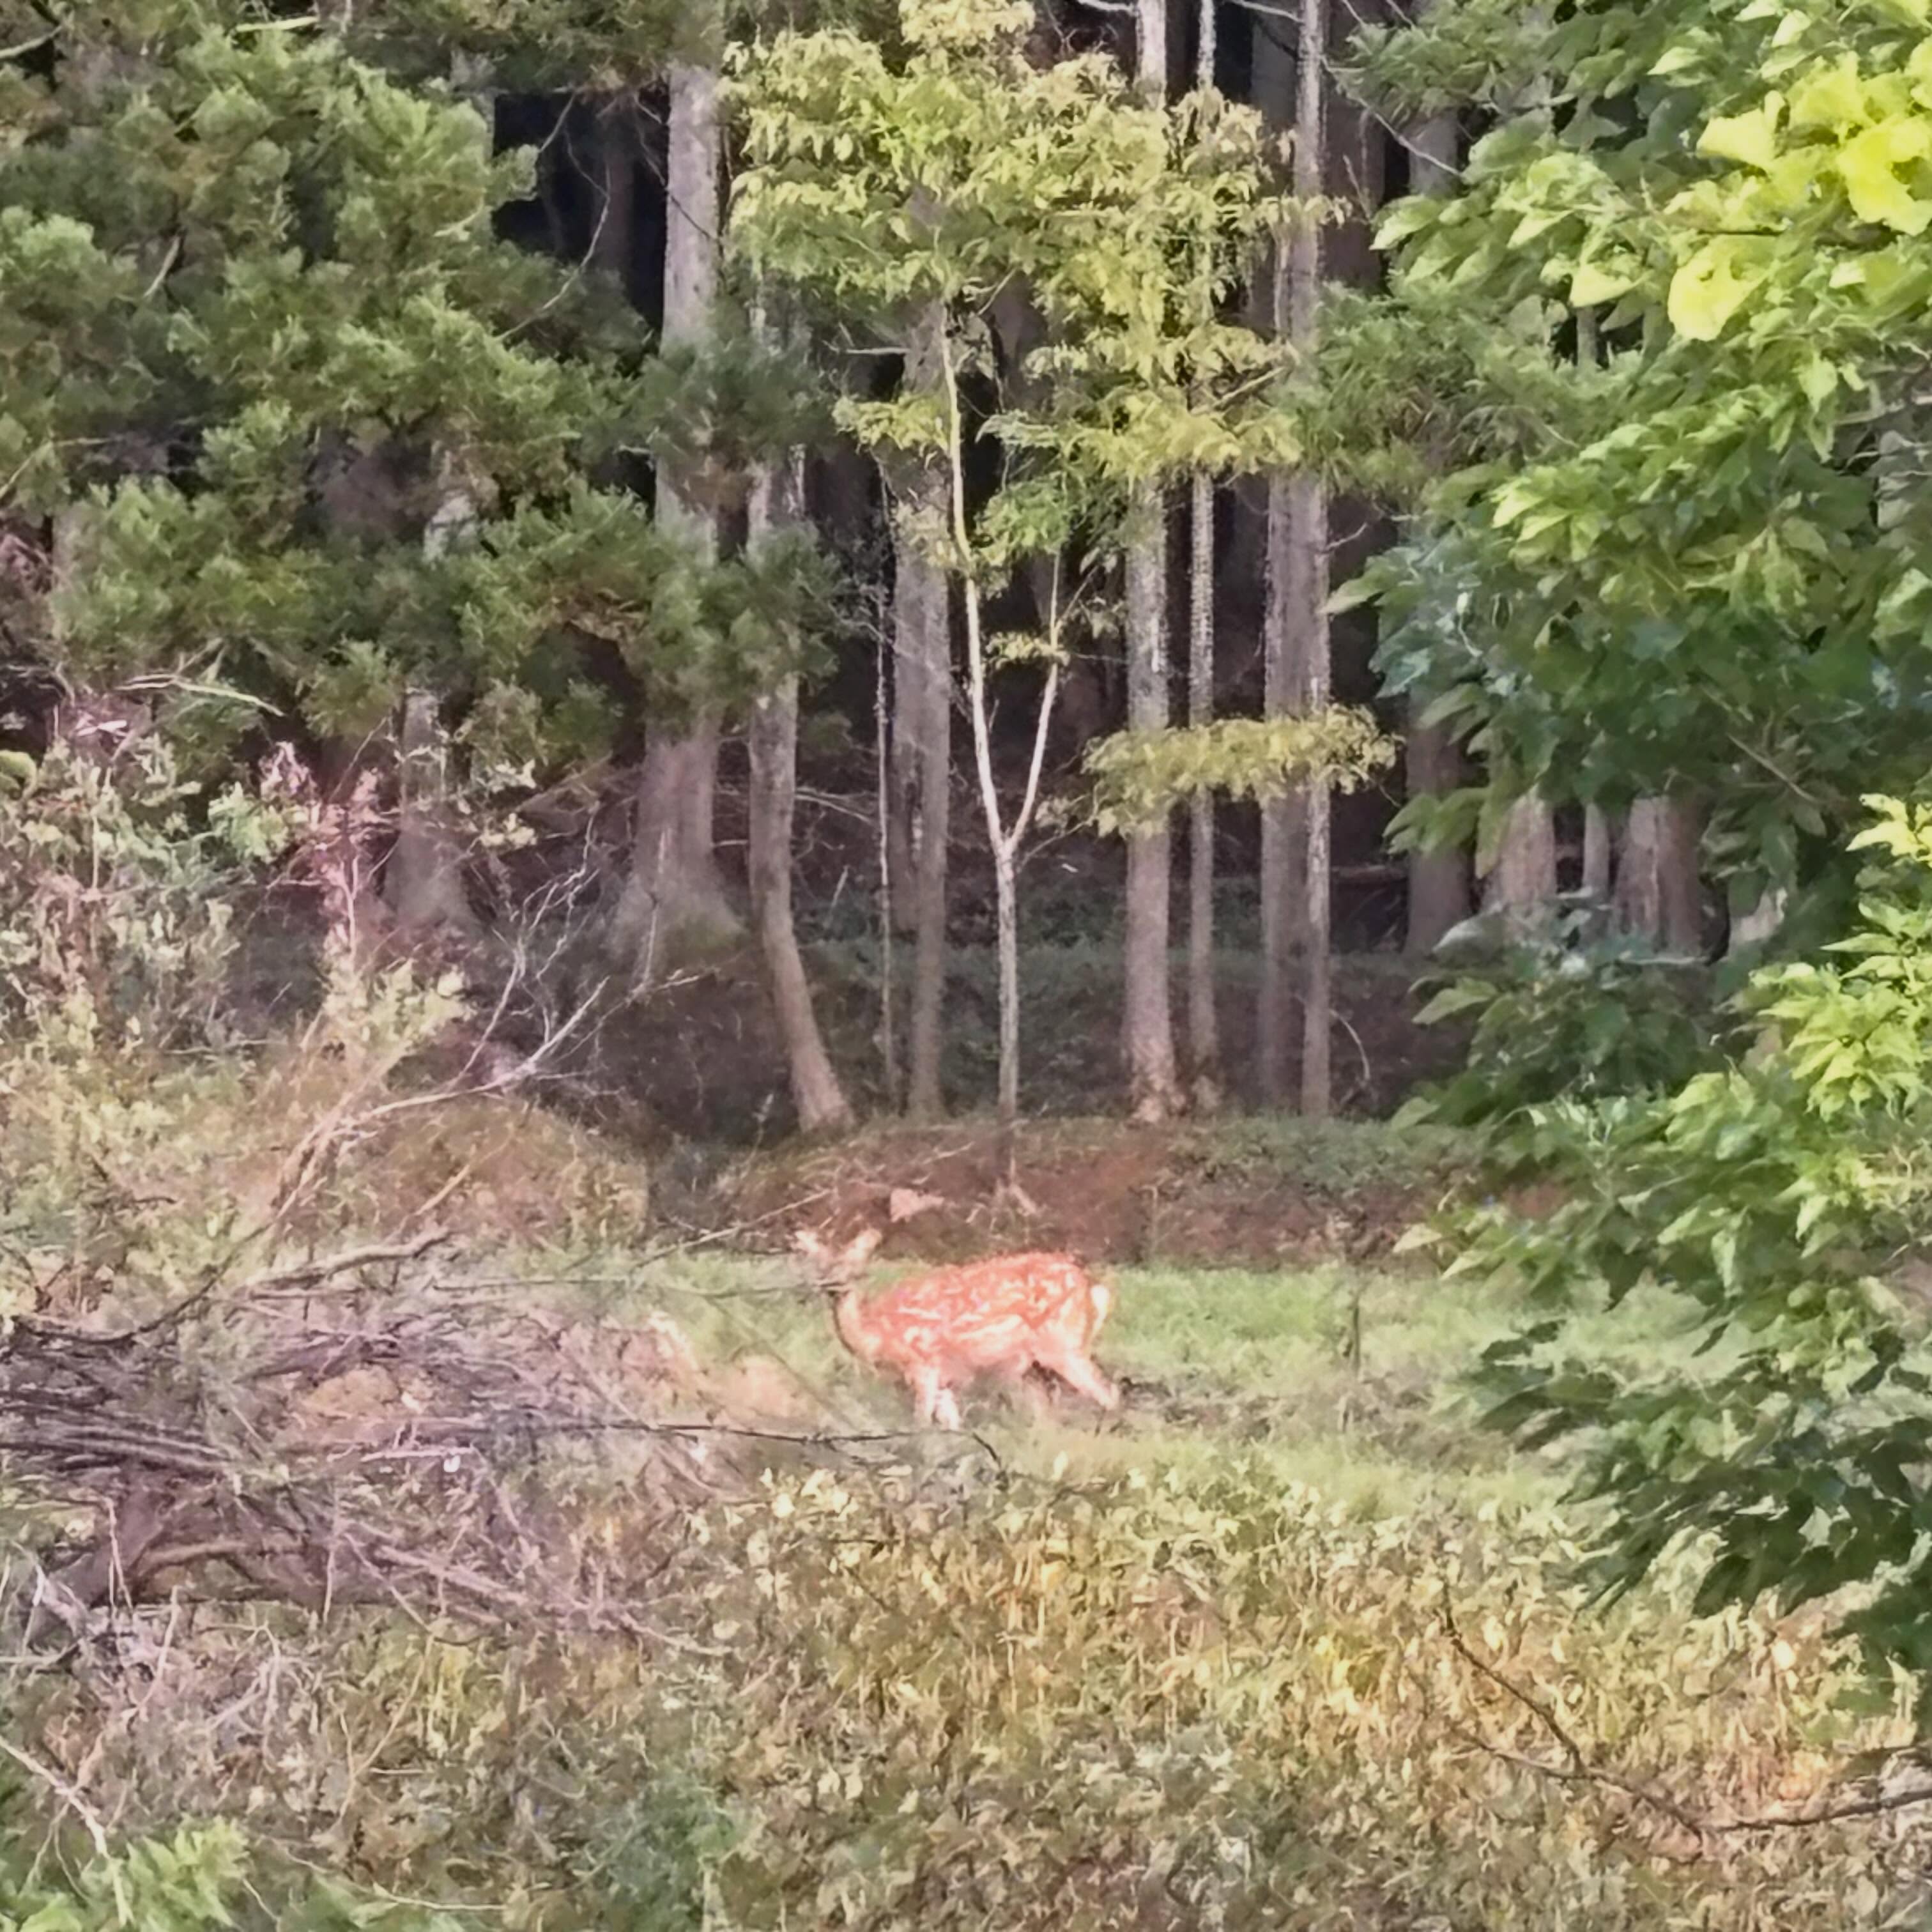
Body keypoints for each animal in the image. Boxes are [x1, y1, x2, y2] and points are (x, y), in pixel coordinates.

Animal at [792, 1226, 1120, 1431]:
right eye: (821, 1264)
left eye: (855, 1262)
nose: (834, 1284)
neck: (878, 1335)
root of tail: (1093, 1288)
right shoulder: (943, 1379)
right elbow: (952, 1427)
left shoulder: (923, 1363)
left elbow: (921, 1423)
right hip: (1037, 1362)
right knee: (1048, 1408)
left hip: (1062, 1343)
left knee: (1109, 1393)